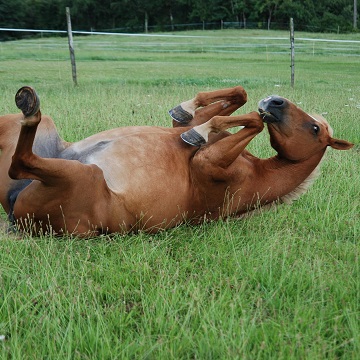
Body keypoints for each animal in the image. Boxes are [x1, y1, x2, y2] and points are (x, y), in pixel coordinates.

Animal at [0, 84, 354, 236]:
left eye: (314, 129)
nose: (275, 100)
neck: (257, 173)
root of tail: (16, 216)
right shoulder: (188, 131)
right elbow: (236, 97)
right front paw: (187, 111)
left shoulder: (205, 164)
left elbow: (252, 120)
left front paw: (197, 134)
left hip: (82, 176)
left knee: (21, 161)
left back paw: (30, 106)